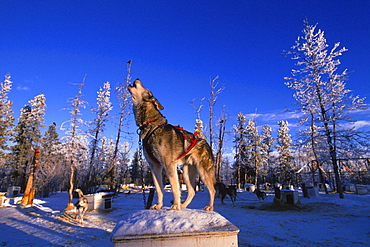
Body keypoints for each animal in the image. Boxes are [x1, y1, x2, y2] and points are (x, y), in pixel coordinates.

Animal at [129, 79, 215, 210]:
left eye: (147, 90)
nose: (137, 79)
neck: (151, 126)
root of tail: (207, 144)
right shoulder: (155, 166)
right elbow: (159, 190)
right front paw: (159, 206)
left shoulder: (169, 165)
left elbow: (175, 189)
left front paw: (175, 205)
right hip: (187, 173)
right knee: (192, 192)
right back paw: (183, 205)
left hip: (203, 172)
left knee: (212, 190)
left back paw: (209, 207)